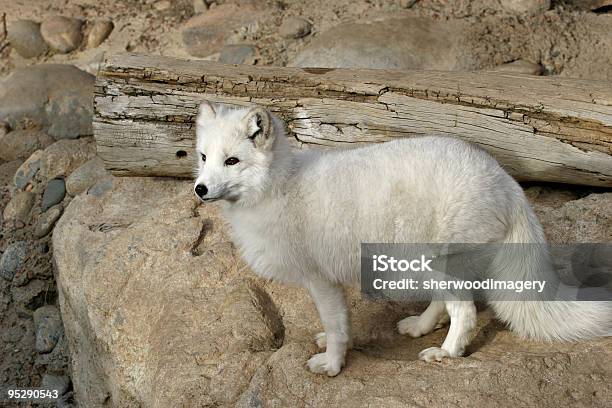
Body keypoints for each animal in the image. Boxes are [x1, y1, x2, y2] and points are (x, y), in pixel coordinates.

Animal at [194, 102, 612, 376]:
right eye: (203, 157)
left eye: (231, 161)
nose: (199, 189)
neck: (280, 186)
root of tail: (505, 179)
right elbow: (337, 324)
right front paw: (331, 350)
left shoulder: (321, 279)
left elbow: (337, 325)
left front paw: (333, 364)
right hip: (426, 262)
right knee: (445, 305)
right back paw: (420, 327)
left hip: (438, 261)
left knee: (465, 311)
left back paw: (446, 353)